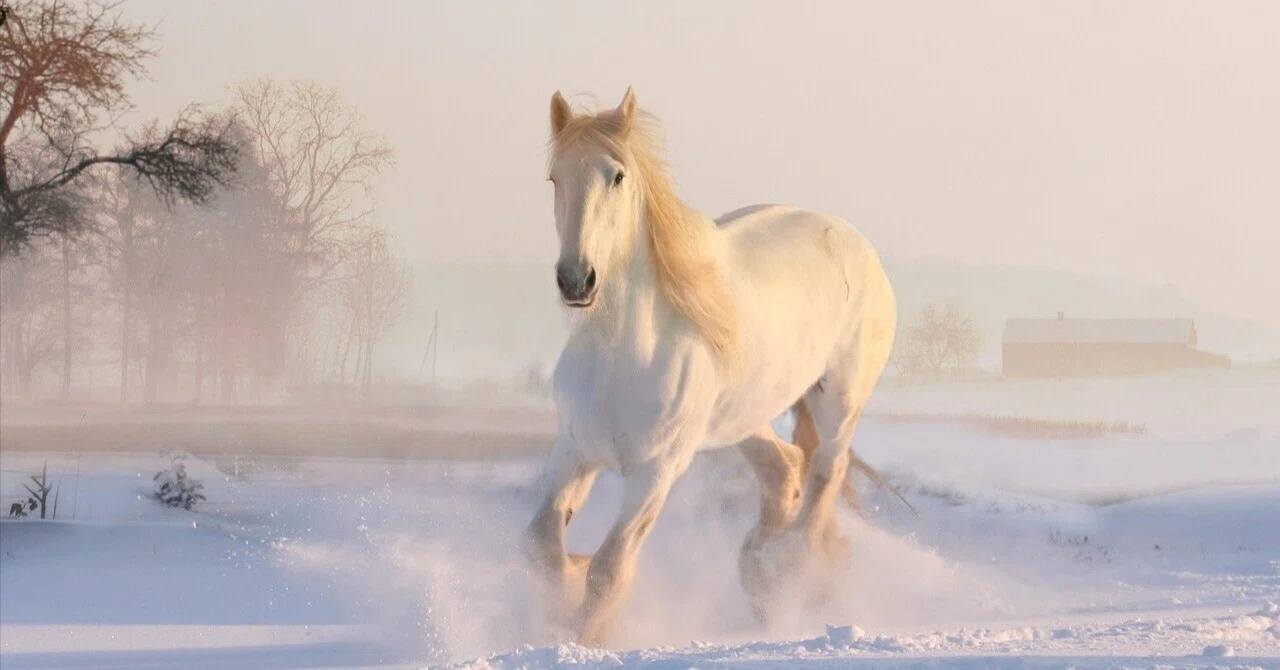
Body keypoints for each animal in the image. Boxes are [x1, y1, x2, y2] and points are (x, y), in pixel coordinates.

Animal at [522, 86, 898, 647]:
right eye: (554, 178)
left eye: (617, 176)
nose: (576, 280)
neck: (620, 358)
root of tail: (856, 242)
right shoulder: (573, 450)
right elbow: (542, 548)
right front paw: (563, 596)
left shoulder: (656, 472)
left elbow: (609, 569)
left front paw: (585, 634)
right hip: (740, 419)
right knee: (784, 468)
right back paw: (759, 573)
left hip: (839, 402)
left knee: (825, 475)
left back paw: (789, 570)